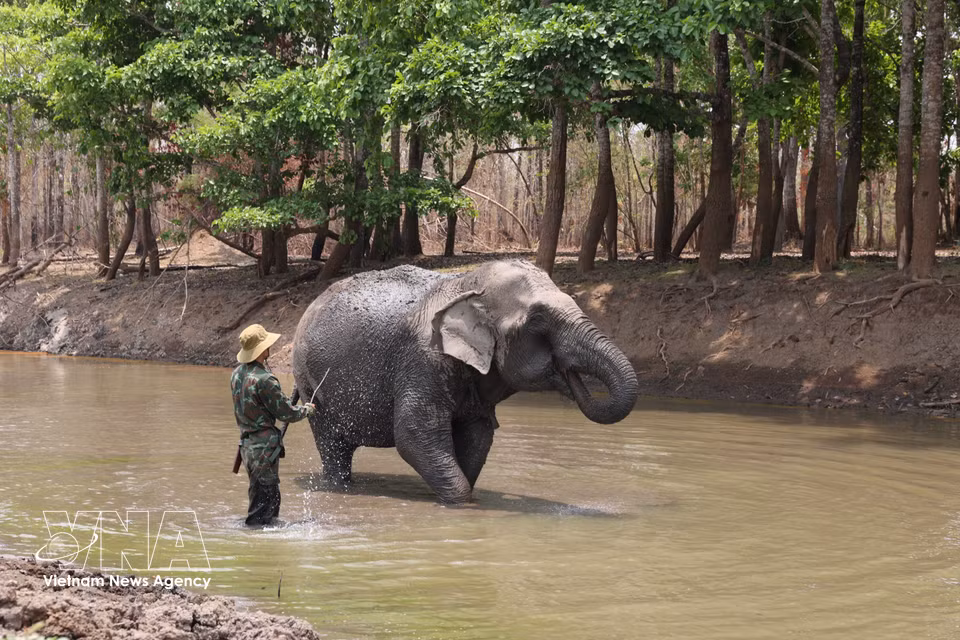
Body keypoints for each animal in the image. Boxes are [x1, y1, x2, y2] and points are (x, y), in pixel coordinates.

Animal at [291, 260, 638, 504]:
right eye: (538, 319)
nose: (569, 374)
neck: (468, 282)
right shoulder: (423, 360)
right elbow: (413, 434)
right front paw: (460, 503)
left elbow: (477, 435)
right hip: (309, 381)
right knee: (332, 446)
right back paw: (340, 487)